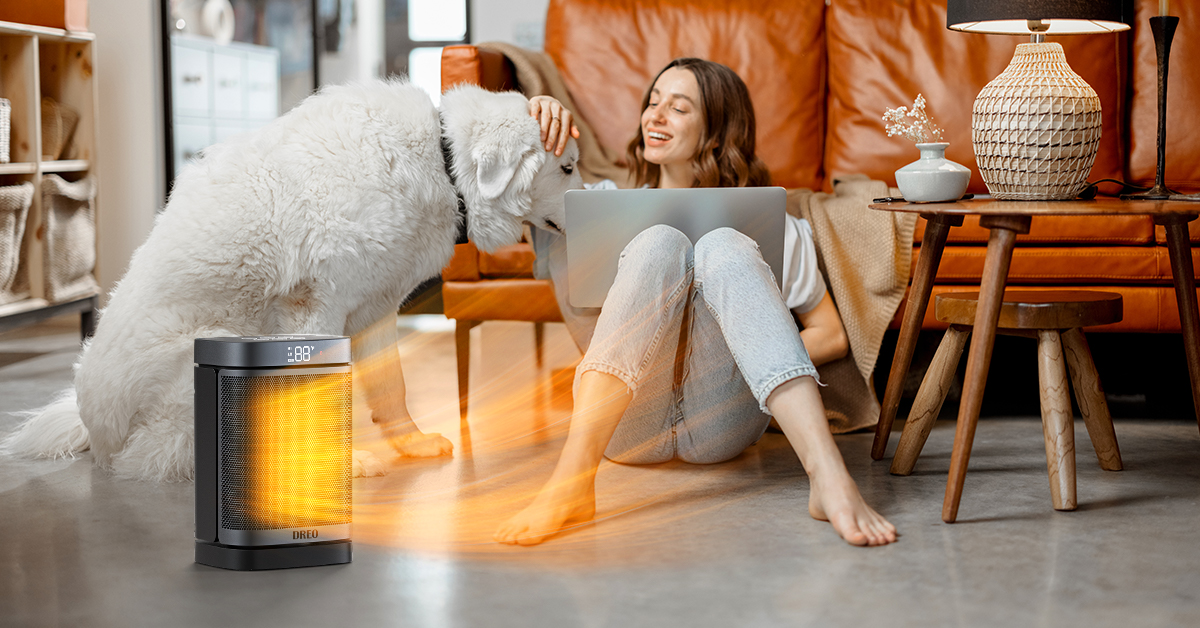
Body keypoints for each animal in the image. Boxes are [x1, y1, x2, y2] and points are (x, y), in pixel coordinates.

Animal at [0, 78, 580, 482]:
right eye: (569, 168)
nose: (596, 195)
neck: (441, 162)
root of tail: (92, 427)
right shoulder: (313, 308)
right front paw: (339, 461)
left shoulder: (373, 308)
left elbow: (391, 386)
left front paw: (410, 444)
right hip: (214, 346)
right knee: (167, 453)